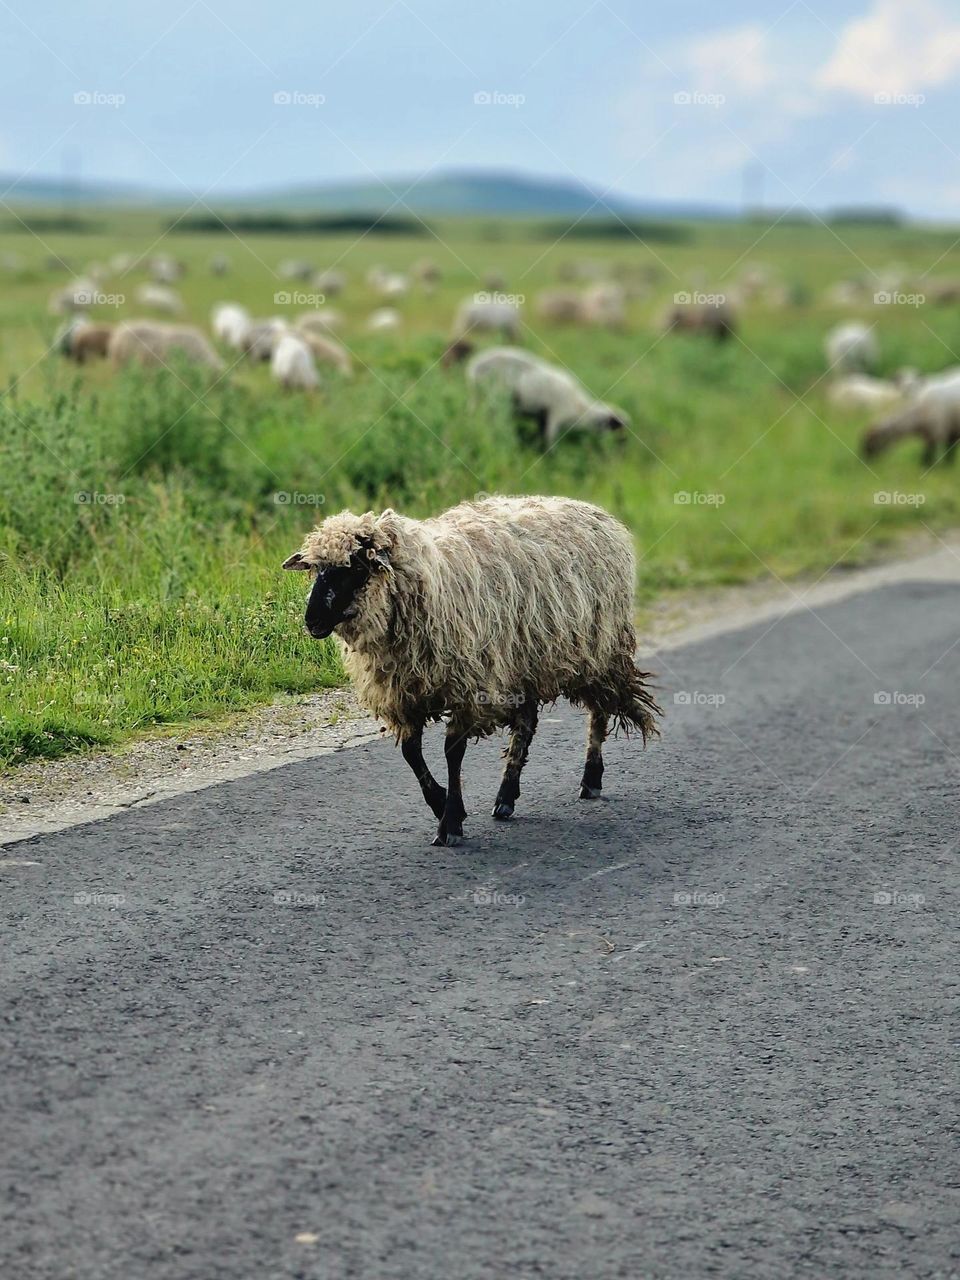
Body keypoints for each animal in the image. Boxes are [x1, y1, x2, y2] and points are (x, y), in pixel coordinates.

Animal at [281, 495, 660, 845]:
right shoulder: (405, 692)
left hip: (597, 649)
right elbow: (411, 753)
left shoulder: (468, 684)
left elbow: (453, 752)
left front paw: (450, 822)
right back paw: (507, 796)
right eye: (317, 570)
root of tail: (592, 509)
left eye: (355, 569)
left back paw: (591, 778)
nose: (312, 621)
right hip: (521, 662)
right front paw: (442, 804)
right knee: (528, 723)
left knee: (599, 710)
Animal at [466, 347, 629, 446]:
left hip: (480, 397)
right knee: (493, 422)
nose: (622, 454)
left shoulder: (543, 416)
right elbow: (549, 441)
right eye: (617, 428)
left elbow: (541, 434)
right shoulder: (556, 415)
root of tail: (475, 368)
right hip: (497, 398)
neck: (581, 411)